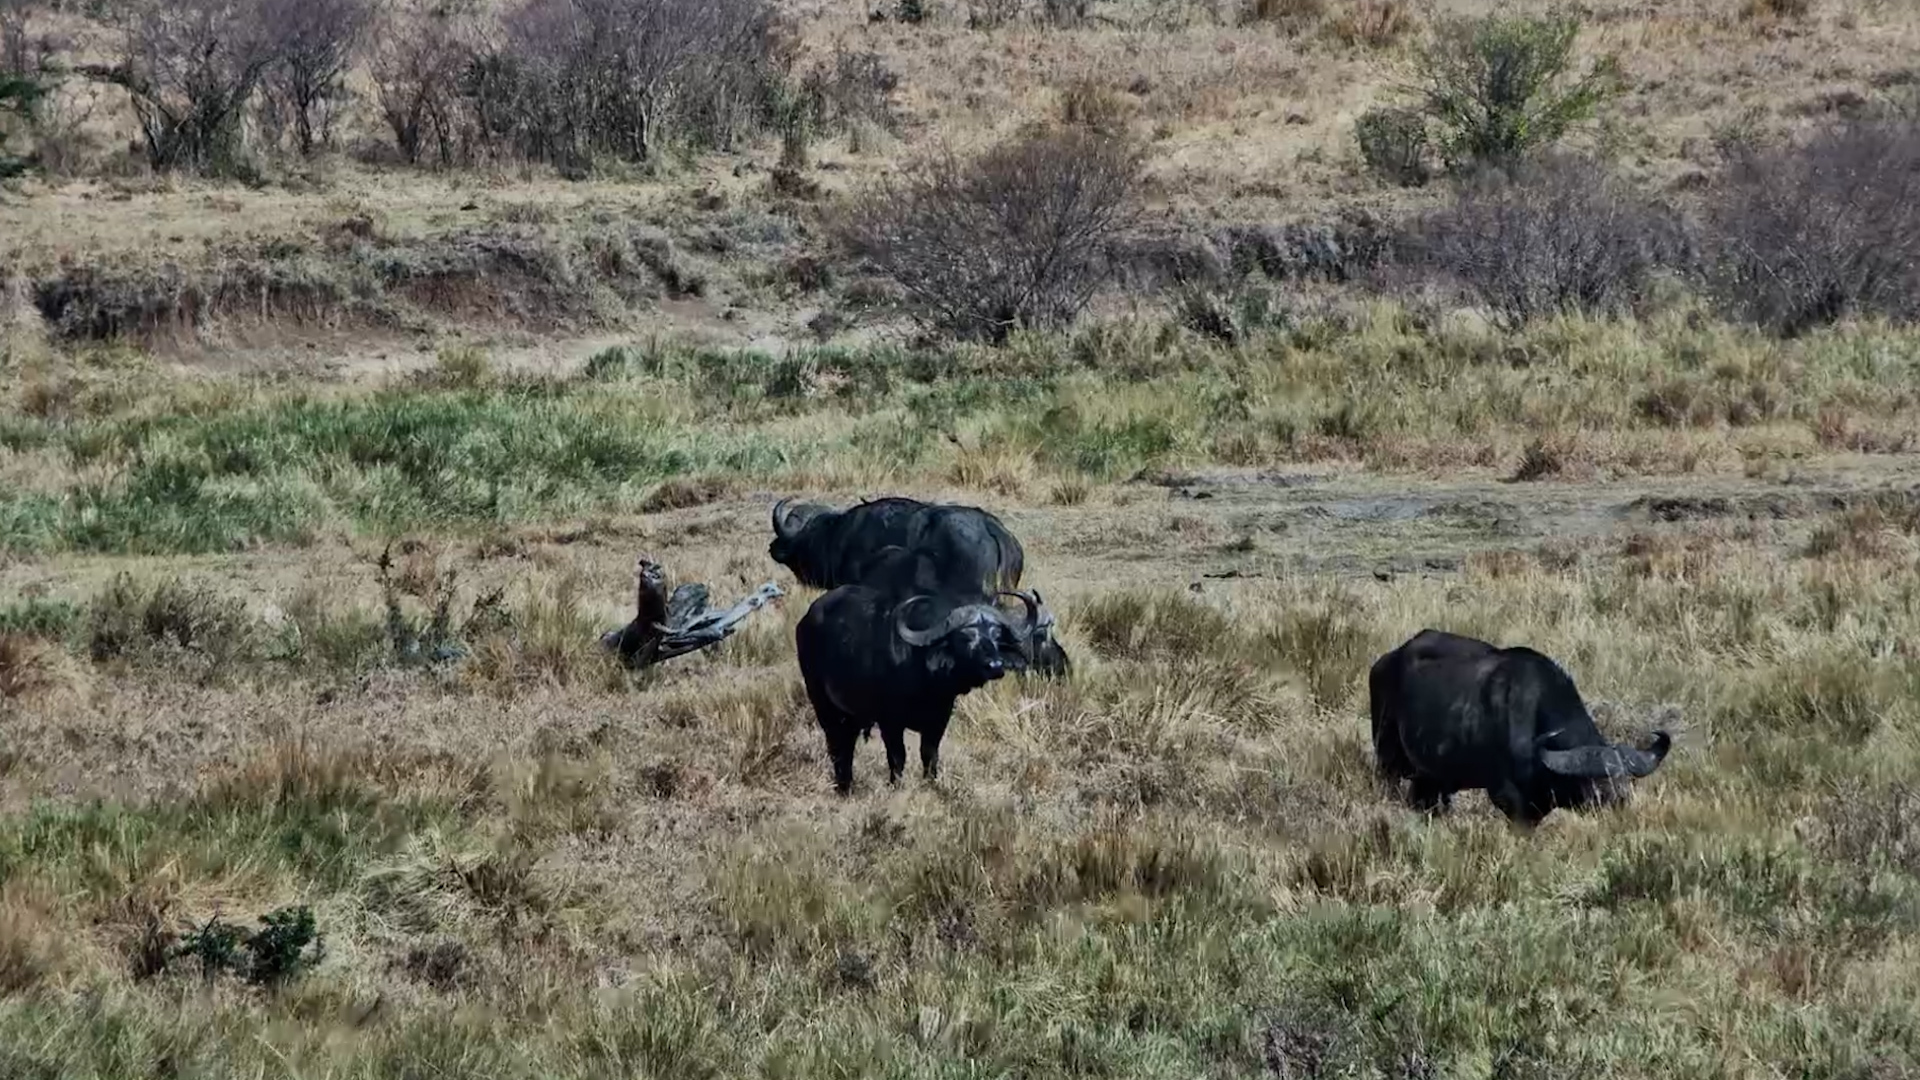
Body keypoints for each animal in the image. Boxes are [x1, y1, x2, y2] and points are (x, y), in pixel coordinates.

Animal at [795, 583, 1049, 795]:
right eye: (965, 637)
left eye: (996, 635)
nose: (995, 666)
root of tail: (806, 621)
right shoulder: (890, 722)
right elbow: (898, 757)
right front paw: (896, 786)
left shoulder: (939, 719)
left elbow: (930, 754)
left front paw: (931, 784)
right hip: (821, 701)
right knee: (835, 743)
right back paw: (843, 787)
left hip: (852, 713)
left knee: (847, 743)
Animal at [1368, 629, 1673, 827]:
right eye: (1596, 783)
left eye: (1624, 778)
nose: (1620, 801)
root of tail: (1384, 662)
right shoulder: (1508, 797)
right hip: (1388, 758)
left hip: (1429, 778)